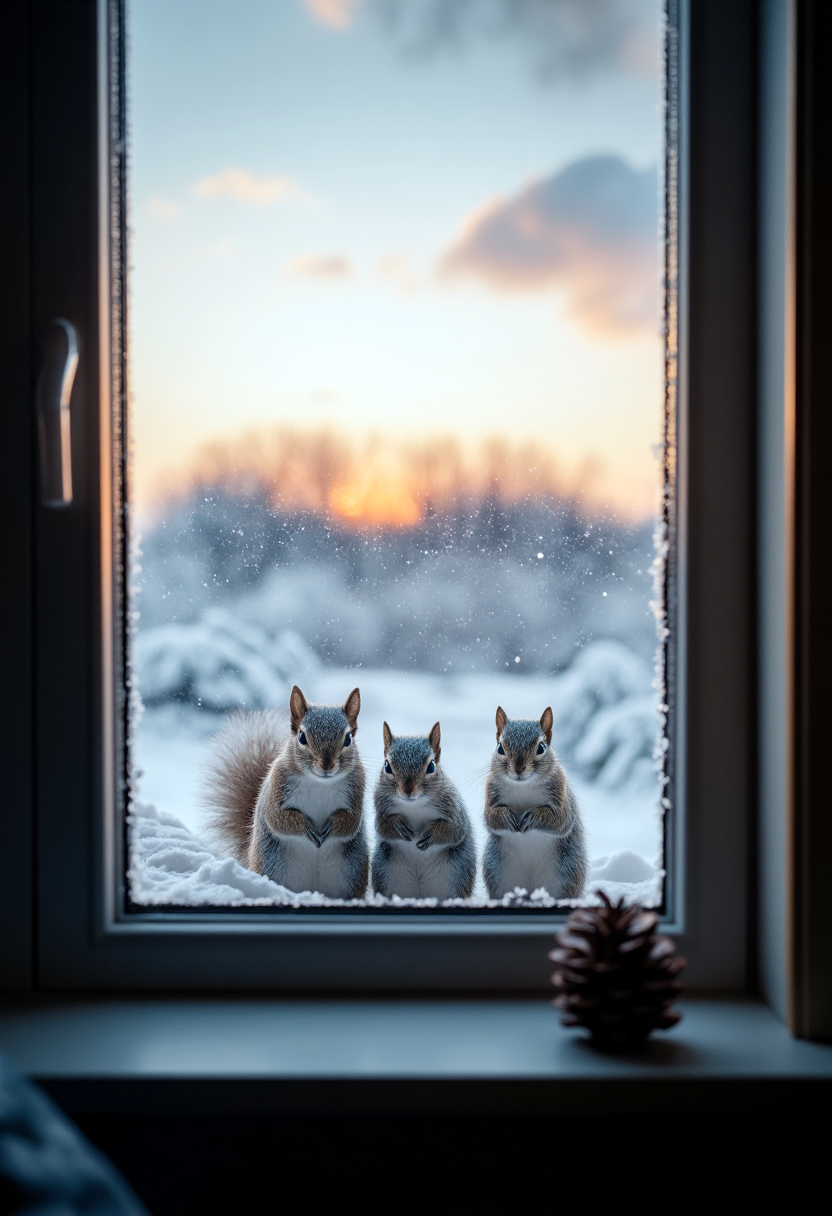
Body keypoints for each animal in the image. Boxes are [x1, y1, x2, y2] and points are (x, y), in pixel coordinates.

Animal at [201, 685, 369, 900]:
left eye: (348, 738)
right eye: (302, 737)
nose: (326, 765)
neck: (320, 783)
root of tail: (312, 889)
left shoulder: (357, 791)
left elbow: (351, 821)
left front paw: (331, 826)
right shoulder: (276, 788)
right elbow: (278, 818)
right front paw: (306, 827)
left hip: (352, 871)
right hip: (271, 864)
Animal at [371, 721, 475, 901]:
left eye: (431, 766)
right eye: (387, 766)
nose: (408, 789)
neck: (414, 805)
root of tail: (420, 895)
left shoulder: (453, 807)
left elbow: (455, 830)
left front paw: (432, 834)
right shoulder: (381, 807)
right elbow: (382, 827)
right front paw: (398, 826)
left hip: (458, 872)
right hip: (383, 870)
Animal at [483, 705, 587, 901]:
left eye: (541, 747)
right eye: (500, 747)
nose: (519, 768)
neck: (523, 786)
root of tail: (531, 890)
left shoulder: (561, 796)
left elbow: (560, 820)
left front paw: (533, 817)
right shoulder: (490, 793)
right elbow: (491, 818)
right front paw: (506, 817)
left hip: (569, 871)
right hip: (496, 871)